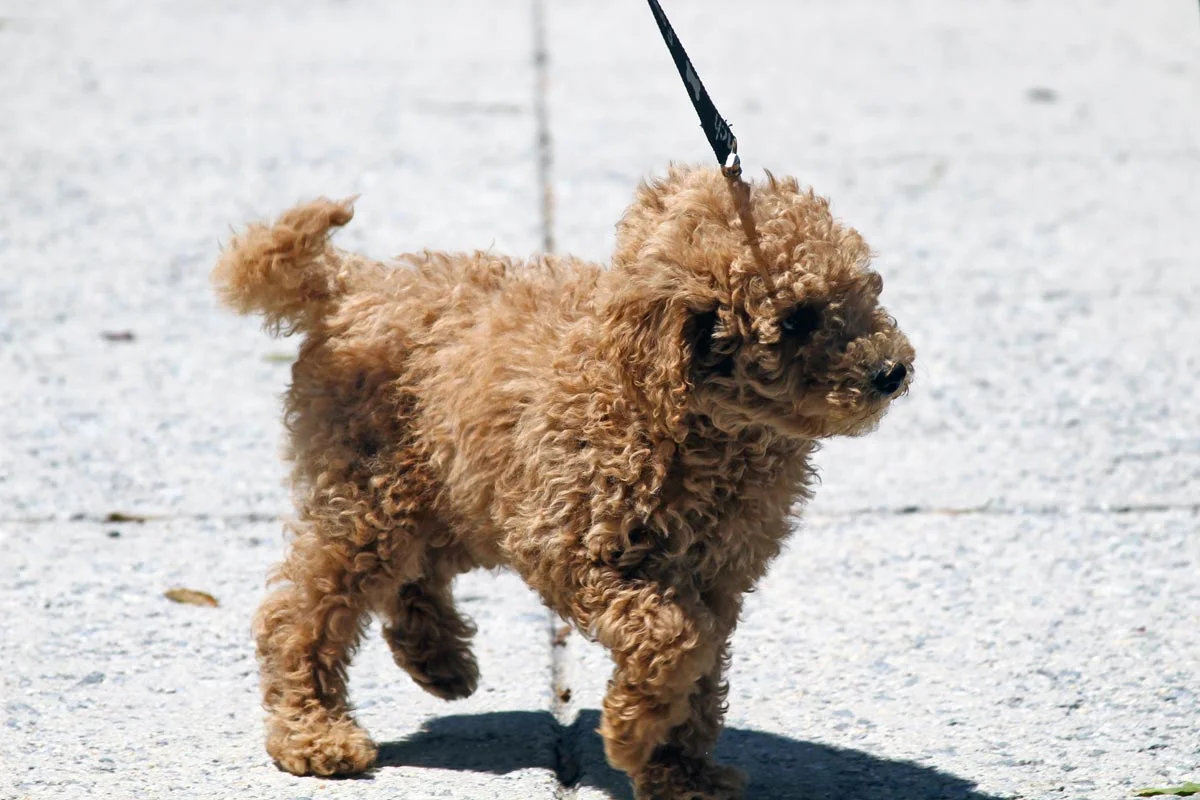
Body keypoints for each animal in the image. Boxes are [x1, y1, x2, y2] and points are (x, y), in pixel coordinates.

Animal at [211, 165, 912, 796]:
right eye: (796, 319)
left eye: (865, 288)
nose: (893, 371)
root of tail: (353, 285)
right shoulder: (572, 547)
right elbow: (675, 639)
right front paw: (631, 735)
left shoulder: (715, 575)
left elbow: (701, 666)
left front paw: (680, 773)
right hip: (373, 493)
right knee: (301, 610)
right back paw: (314, 732)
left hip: (455, 491)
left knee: (412, 574)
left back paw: (438, 660)